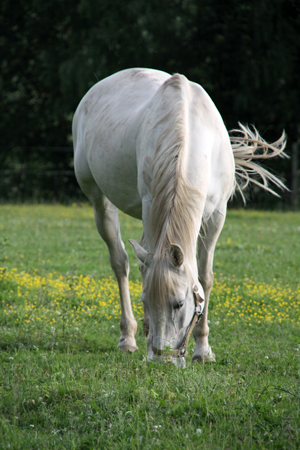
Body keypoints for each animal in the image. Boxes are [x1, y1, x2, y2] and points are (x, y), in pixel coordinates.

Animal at [72, 68, 286, 368]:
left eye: (179, 304)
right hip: (99, 201)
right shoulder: (152, 206)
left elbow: (205, 277)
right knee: (121, 262)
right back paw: (129, 337)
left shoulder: (216, 216)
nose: (163, 360)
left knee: (141, 261)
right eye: (146, 301)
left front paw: (203, 350)